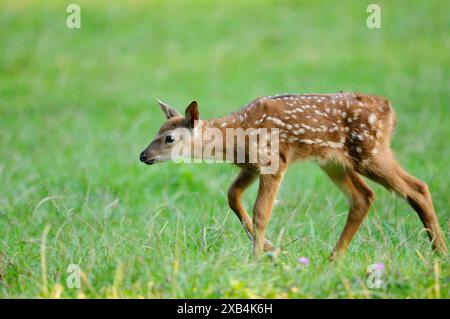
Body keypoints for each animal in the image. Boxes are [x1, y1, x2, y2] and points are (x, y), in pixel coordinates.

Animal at [140, 93, 446, 260]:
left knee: (417, 188)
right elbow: (232, 196)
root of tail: (390, 112)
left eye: (168, 138)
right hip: (334, 162)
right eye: (157, 130)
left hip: (370, 151)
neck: (236, 137)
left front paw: (257, 258)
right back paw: (333, 258)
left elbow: (261, 210)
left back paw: (440, 253)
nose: (143, 155)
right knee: (363, 197)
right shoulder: (251, 165)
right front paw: (271, 248)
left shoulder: (274, 159)